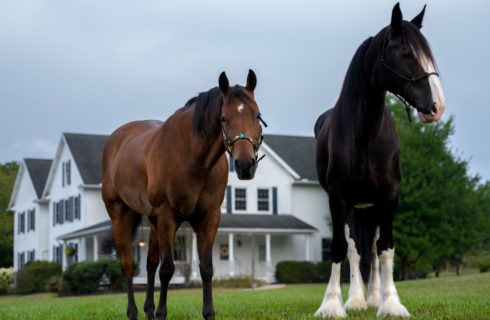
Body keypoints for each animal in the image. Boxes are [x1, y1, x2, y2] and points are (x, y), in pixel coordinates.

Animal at [101, 70, 266, 320]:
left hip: (153, 221)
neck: (193, 160)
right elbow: (168, 269)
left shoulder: (209, 217)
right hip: (121, 215)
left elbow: (206, 268)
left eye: (257, 115)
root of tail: (115, 140)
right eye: (223, 119)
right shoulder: (168, 218)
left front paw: (208, 313)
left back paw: (148, 310)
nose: (245, 165)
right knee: (128, 265)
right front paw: (162, 312)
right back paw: (133, 312)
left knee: (150, 264)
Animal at [314, 3, 444, 318]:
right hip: (353, 207)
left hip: (371, 206)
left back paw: (371, 297)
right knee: (353, 249)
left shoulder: (389, 196)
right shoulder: (338, 198)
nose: (437, 106)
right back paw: (355, 299)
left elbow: (384, 248)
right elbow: (340, 248)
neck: (365, 133)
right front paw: (332, 304)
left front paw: (390, 303)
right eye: (406, 53)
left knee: (370, 248)